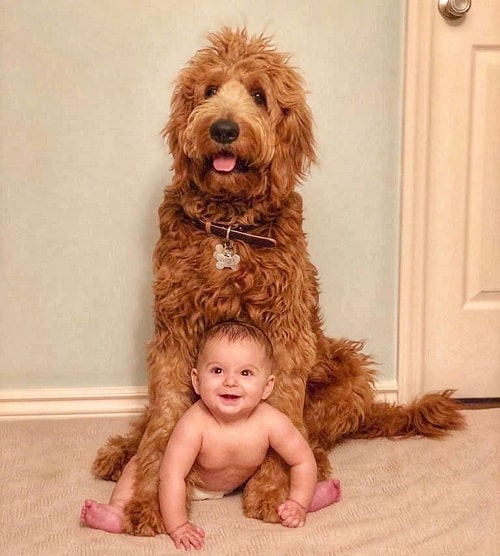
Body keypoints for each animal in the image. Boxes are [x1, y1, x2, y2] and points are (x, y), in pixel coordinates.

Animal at [91, 27, 464, 536]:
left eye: (258, 95)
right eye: (209, 90)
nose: (223, 129)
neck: (229, 229)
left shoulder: (287, 333)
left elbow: (284, 417)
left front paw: (274, 490)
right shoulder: (173, 333)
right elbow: (163, 425)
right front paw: (148, 498)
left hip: (348, 371)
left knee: (316, 433)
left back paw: (319, 463)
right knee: (148, 419)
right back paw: (121, 450)